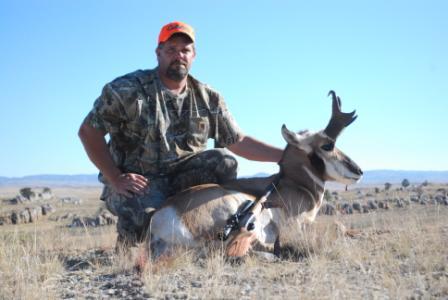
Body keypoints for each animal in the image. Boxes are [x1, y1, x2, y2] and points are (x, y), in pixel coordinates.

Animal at [149, 91, 362, 258]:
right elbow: (337, 225)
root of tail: (162, 212)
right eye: (327, 145)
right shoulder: (298, 224)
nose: (359, 171)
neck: (294, 184)